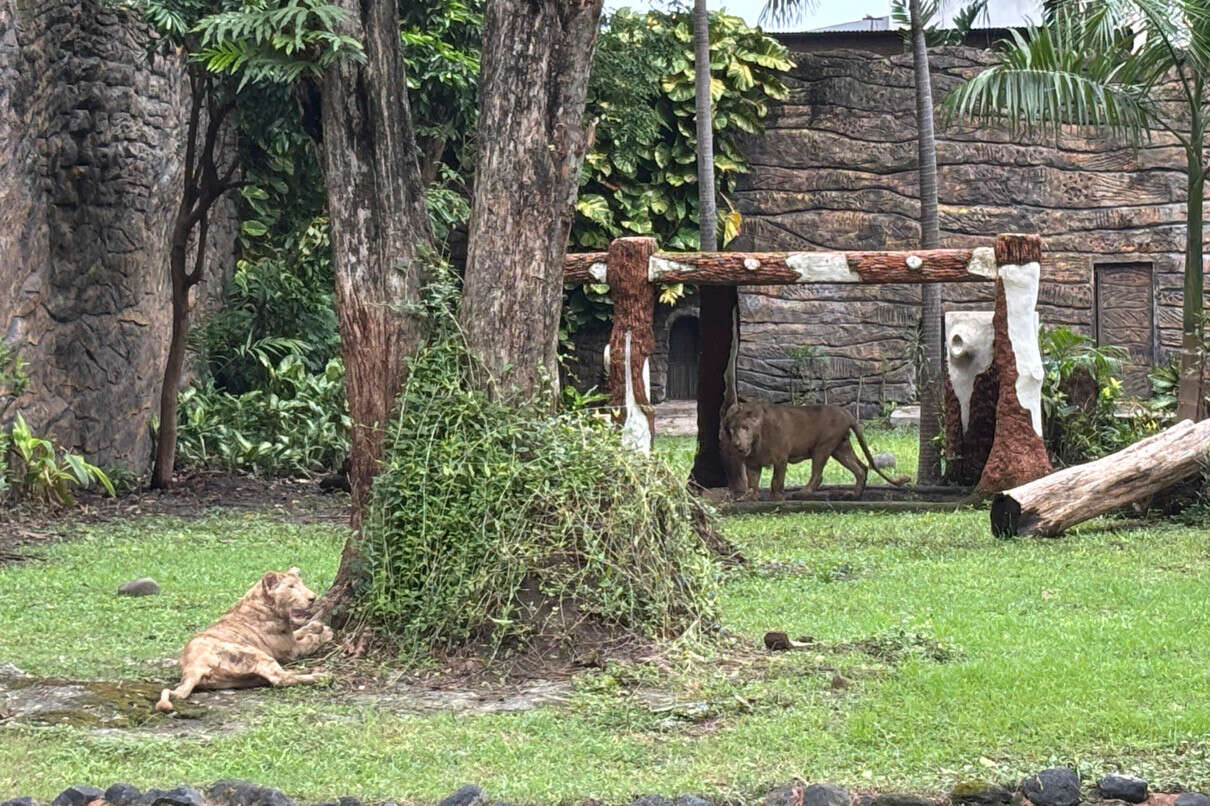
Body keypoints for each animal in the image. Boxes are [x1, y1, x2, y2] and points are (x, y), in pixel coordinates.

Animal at [158, 563, 336, 711]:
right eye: (291, 587)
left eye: (302, 584)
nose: (313, 598)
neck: (263, 602)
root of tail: (192, 667)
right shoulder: (291, 650)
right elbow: (309, 641)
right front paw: (326, 632)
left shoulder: (289, 637)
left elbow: (300, 631)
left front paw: (317, 626)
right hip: (252, 654)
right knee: (280, 679)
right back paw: (322, 676)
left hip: (238, 678)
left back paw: (313, 670)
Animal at [716, 399, 909, 498]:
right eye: (731, 429)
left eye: (745, 428)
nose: (736, 444)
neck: (756, 441)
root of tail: (846, 412)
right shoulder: (752, 463)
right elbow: (752, 482)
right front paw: (748, 497)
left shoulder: (781, 458)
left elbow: (776, 480)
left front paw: (777, 496)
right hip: (840, 448)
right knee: (861, 468)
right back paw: (854, 494)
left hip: (823, 447)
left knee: (818, 474)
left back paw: (805, 492)